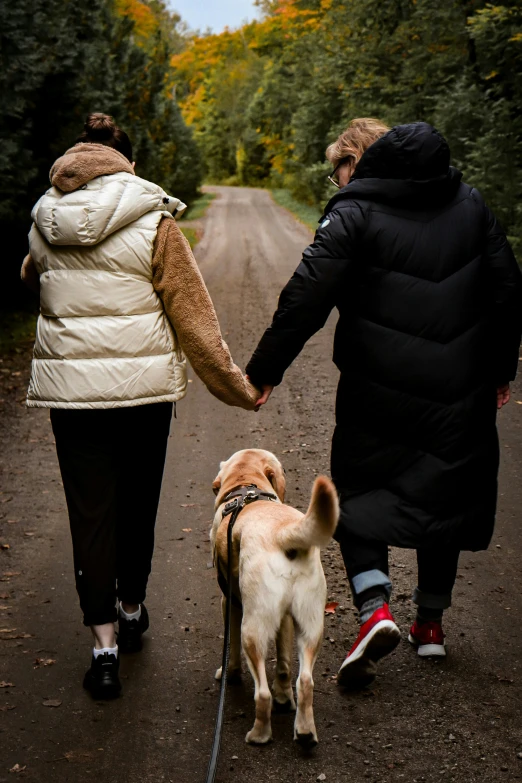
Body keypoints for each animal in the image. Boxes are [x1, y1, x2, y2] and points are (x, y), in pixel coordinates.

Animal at [210, 450, 338, 744]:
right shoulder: (286, 620)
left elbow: (230, 649)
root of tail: (282, 533)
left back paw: (259, 734)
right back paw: (305, 731)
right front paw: (284, 696)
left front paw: (229, 674)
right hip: (312, 626)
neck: (246, 485)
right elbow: (283, 665)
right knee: (305, 682)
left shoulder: (229, 603)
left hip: (253, 629)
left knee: (262, 694)